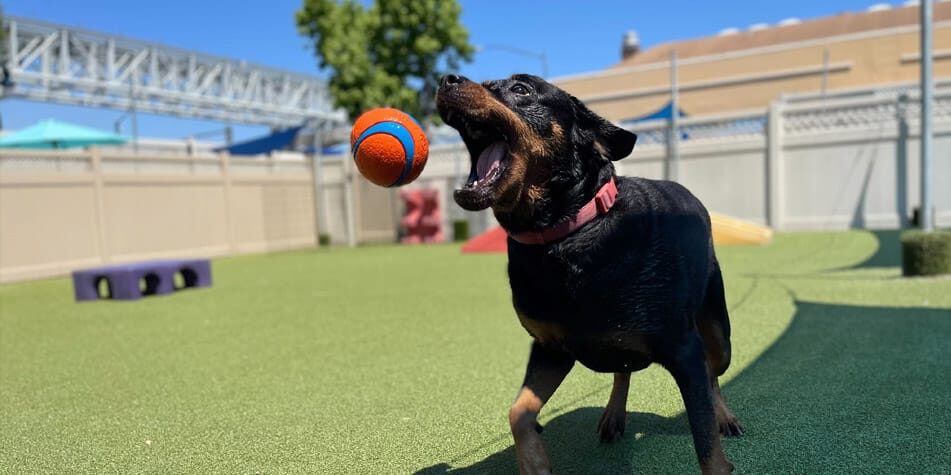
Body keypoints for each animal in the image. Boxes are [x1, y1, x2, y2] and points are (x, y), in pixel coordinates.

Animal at [436, 73, 744, 472]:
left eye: (521, 89)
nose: (446, 80)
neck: (567, 236)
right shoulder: (551, 348)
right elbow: (518, 412)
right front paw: (534, 462)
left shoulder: (683, 349)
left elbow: (706, 443)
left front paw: (717, 445)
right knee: (624, 369)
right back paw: (613, 414)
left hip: (718, 328)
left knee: (713, 371)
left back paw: (724, 416)